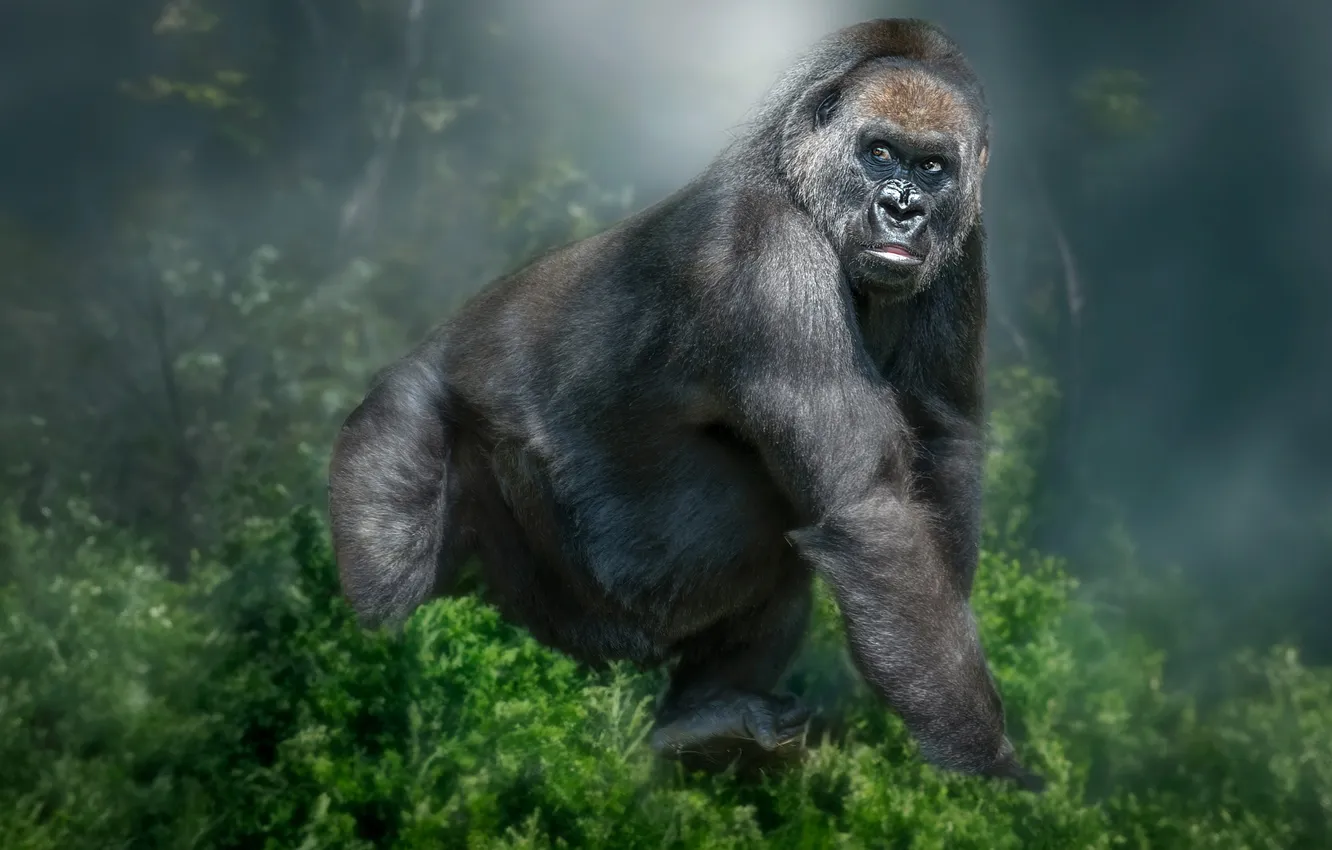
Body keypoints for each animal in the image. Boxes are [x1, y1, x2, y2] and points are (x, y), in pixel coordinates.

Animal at [328, 18, 1043, 792]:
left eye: (931, 167)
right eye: (878, 151)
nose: (901, 209)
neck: (796, 178)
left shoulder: (964, 239)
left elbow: (943, 437)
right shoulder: (769, 258)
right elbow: (870, 509)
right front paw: (988, 770)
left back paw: (700, 723)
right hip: (411, 424)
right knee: (392, 546)